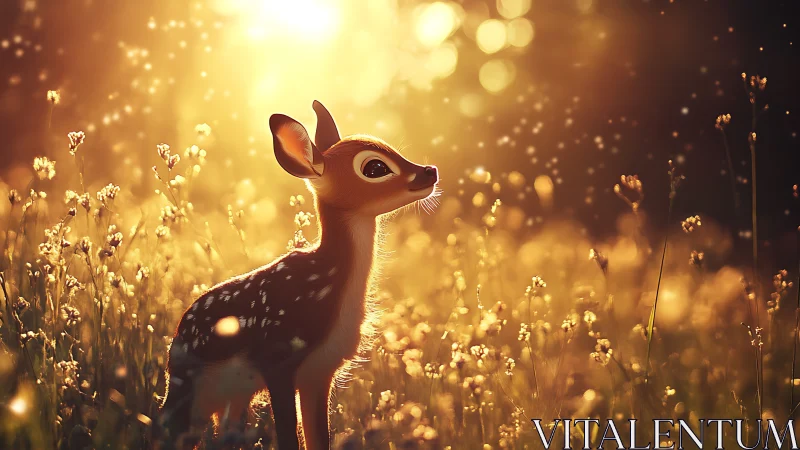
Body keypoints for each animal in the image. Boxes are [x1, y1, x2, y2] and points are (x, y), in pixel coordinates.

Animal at [159, 100, 440, 449]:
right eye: (375, 167)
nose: (430, 171)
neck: (326, 284)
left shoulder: (320, 372)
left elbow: (318, 436)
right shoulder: (277, 360)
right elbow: (288, 435)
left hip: (232, 395)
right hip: (191, 387)